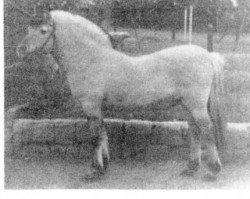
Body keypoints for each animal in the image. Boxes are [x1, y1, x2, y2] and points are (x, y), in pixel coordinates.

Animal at [16, 9, 226, 180]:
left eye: (43, 31)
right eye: (28, 28)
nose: (20, 49)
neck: (91, 59)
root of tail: (207, 55)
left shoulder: (90, 105)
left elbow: (94, 137)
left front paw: (93, 171)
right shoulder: (97, 107)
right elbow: (102, 133)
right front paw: (104, 166)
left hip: (196, 106)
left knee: (207, 129)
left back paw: (213, 171)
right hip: (186, 105)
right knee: (195, 131)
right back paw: (190, 168)